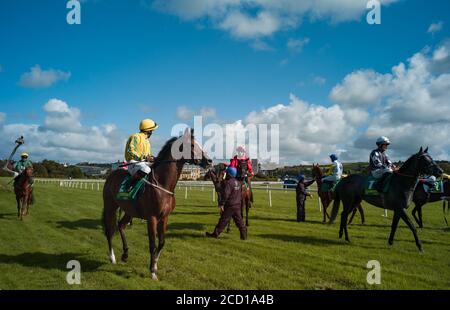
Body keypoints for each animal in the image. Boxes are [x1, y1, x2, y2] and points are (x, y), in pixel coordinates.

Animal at [103, 129, 212, 280]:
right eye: (191, 145)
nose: (209, 161)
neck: (162, 184)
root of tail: (111, 175)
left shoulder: (164, 217)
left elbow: (161, 242)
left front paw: (155, 265)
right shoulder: (152, 218)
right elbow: (152, 244)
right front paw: (152, 271)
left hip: (129, 211)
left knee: (121, 225)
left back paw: (125, 254)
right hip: (110, 207)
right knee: (109, 230)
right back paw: (112, 257)